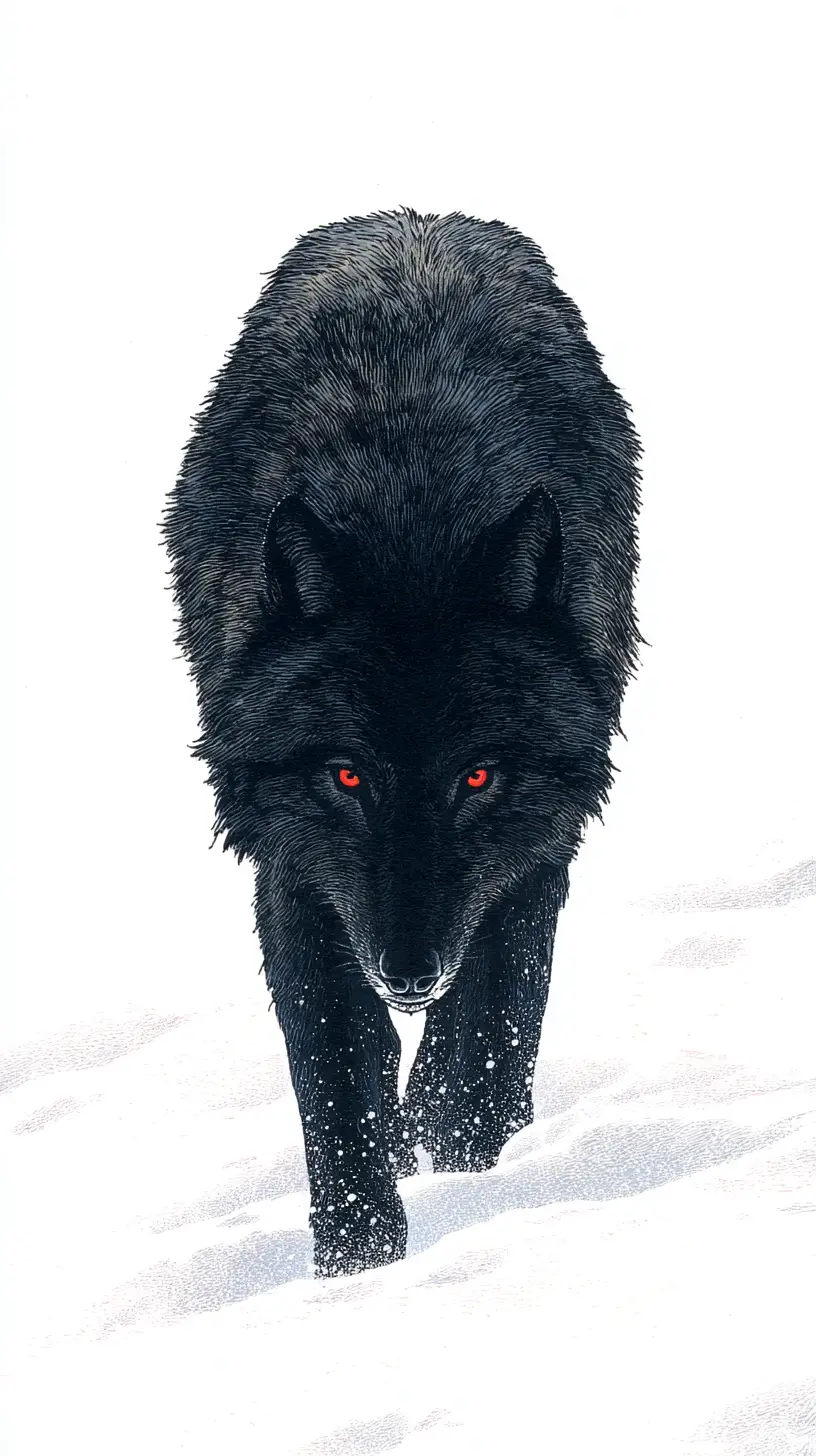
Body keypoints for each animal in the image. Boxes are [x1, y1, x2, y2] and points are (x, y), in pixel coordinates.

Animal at [164, 209, 641, 1277]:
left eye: (478, 776)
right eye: (347, 776)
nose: (409, 973)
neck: (410, 517)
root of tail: (417, 215)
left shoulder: (537, 836)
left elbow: (498, 1016)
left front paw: (465, 1154)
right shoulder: (298, 864)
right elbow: (338, 1068)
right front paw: (358, 1270)